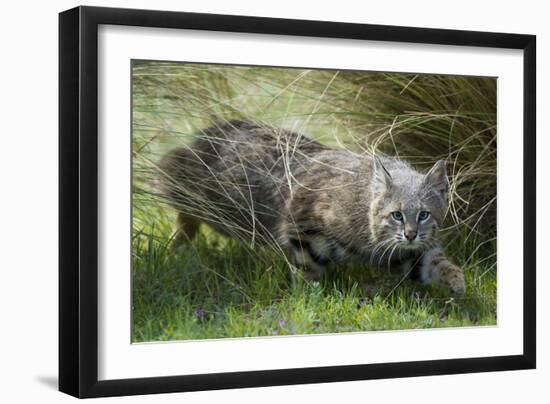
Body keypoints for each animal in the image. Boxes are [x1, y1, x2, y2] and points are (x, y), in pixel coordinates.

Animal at [158, 120, 466, 294]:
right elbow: (308, 268)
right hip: (211, 200)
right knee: (179, 194)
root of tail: (210, 131)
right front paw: (307, 299)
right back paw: (179, 243)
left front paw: (457, 282)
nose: (411, 234)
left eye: (424, 215)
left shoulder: (404, 253)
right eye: (397, 215)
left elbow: (437, 263)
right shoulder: (300, 224)